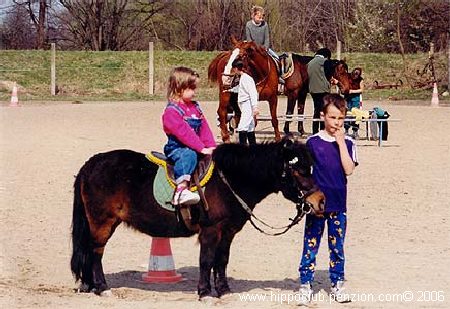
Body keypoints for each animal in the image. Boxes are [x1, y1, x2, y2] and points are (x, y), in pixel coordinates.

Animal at [70, 137, 324, 298]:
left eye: (310, 168)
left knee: (89, 252)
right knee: (95, 252)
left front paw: (223, 290)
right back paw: (101, 287)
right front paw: (204, 292)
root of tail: (90, 164)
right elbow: (206, 260)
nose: (320, 201)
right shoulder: (210, 230)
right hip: (102, 222)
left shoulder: (228, 232)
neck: (228, 180)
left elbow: (222, 260)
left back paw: (88, 285)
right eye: (298, 170)